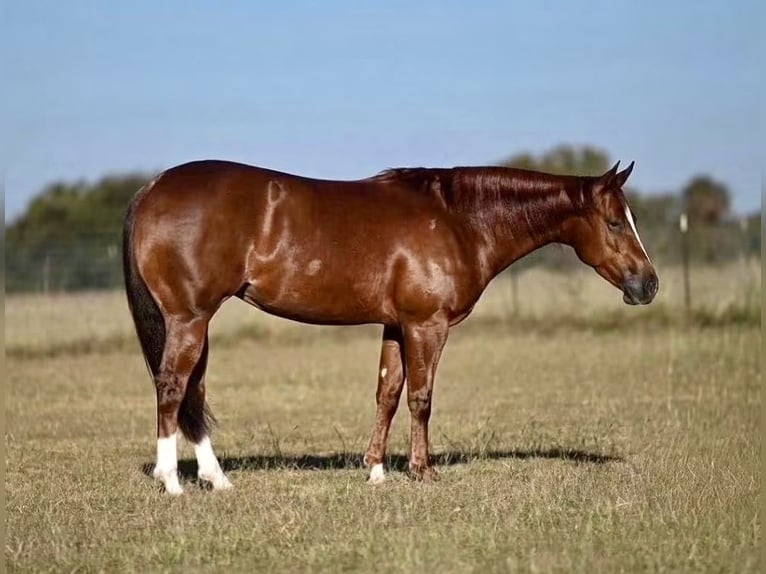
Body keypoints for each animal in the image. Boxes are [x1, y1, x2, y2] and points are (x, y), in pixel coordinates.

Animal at [122, 159, 658, 494]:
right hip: (189, 319)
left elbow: (387, 393)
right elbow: (421, 398)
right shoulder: (427, 325)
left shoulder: (396, 327)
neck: (459, 219)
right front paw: (424, 472)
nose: (648, 284)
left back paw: (217, 479)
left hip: (197, 323)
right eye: (615, 222)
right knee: (172, 387)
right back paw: (171, 481)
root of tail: (152, 188)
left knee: (193, 392)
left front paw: (376, 471)